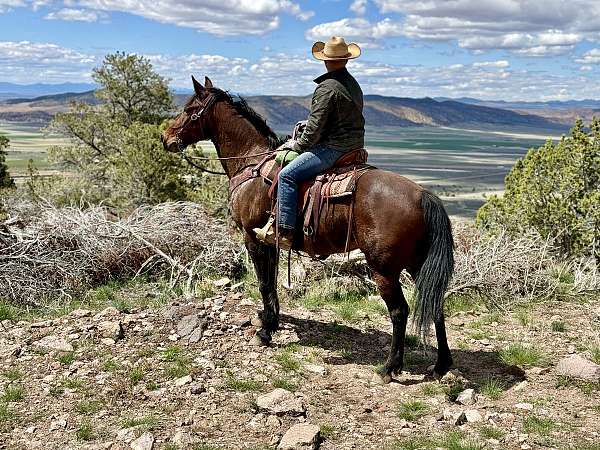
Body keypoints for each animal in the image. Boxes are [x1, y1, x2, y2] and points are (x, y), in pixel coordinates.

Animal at [162, 75, 452, 382]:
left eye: (190, 108)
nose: (166, 137)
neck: (250, 163)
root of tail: (424, 195)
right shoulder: (271, 241)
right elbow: (271, 282)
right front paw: (270, 320)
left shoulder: (252, 238)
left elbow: (264, 282)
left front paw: (265, 332)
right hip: (418, 264)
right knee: (436, 304)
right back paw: (441, 365)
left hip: (384, 269)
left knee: (399, 311)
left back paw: (390, 366)